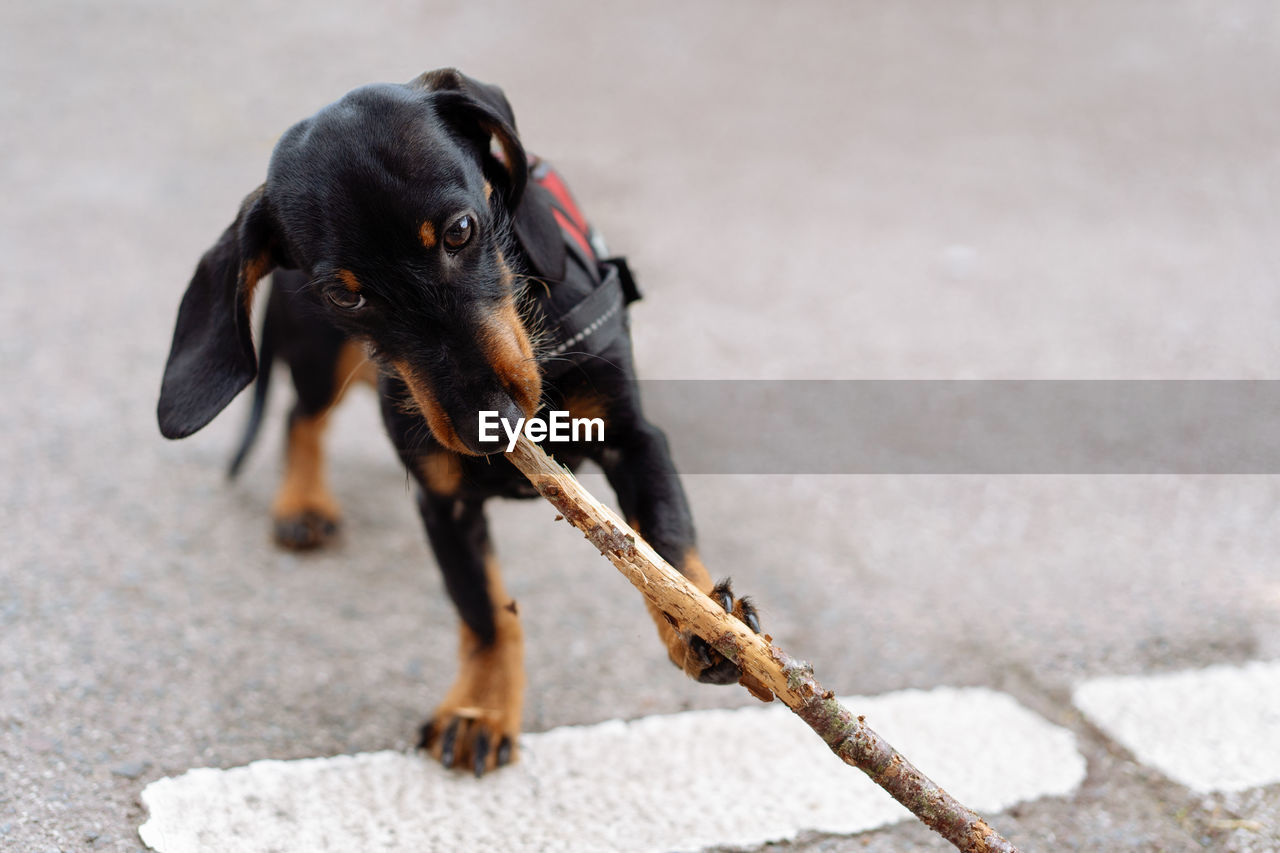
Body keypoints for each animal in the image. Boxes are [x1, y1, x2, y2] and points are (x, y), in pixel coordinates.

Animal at [160, 69, 757, 773]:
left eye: (461, 231)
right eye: (344, 293)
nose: (487, 425)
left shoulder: (636, 440)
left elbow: (664, 541)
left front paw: (700, 624)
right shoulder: (442, 498)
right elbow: (485, 613)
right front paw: (480, 711)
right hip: (319, 356)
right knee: (299, 417)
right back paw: (301, 502)